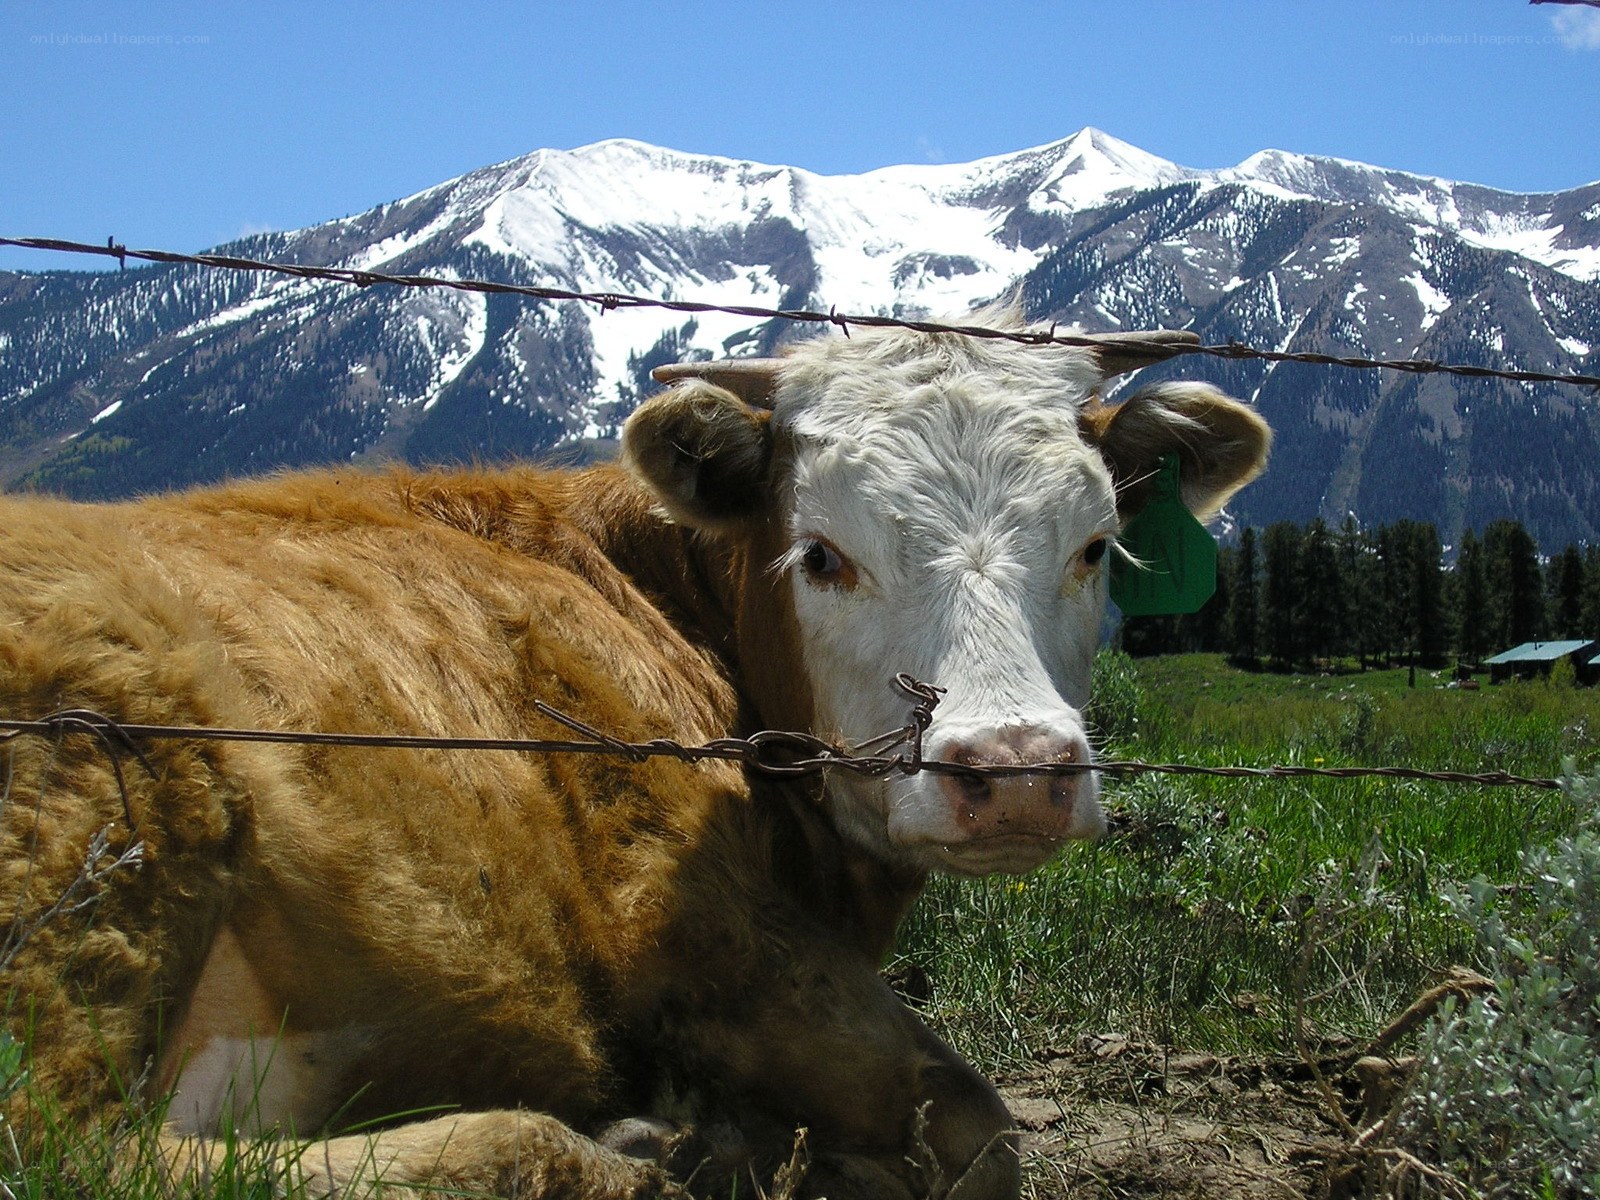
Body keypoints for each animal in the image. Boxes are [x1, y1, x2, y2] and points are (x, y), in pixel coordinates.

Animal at [0, 307, 1268, 1199]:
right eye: (821, 553)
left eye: (1095, 545)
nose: (1011, 769)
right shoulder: (694, 920)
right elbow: (972, 1125)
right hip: (97, 840)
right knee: (69, 1154)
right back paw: (642, 1152)